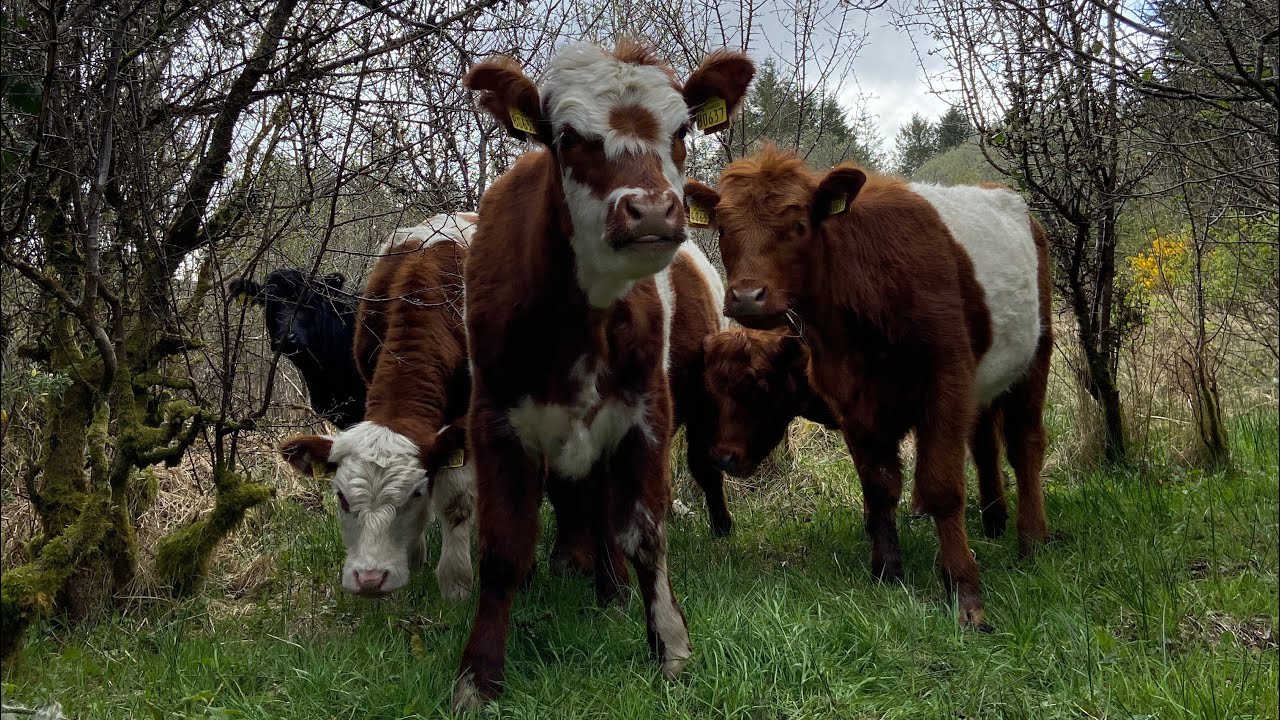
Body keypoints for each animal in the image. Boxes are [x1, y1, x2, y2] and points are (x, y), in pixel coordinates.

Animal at [275, 214, 477, 602]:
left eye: (414, 494)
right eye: (341, 499)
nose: (370, 579)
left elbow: (456, 502)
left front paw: (456, 583)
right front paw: (413, 560)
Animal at [453, 42, 754, 711]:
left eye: (682, 129)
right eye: (565, 137)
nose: (651, 211)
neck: (580, 321)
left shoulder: (646, 412)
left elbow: (643, 530)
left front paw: (669, 643)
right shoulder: (493, 422)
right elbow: (503, 549)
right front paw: (478, 674)